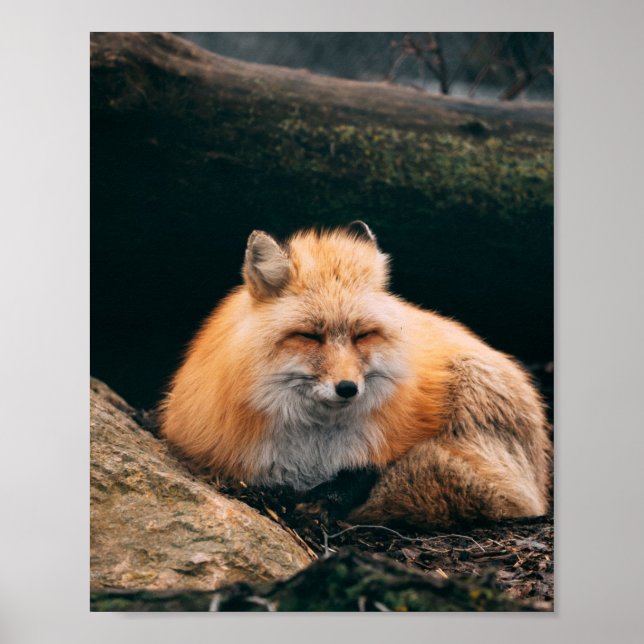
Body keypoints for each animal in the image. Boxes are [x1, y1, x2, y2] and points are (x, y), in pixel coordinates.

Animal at [160, 222, 552, 529]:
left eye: (362, 335)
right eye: (310, 335)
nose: (347, 388)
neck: (313, 450)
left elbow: (363, 475)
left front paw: (327, 501)